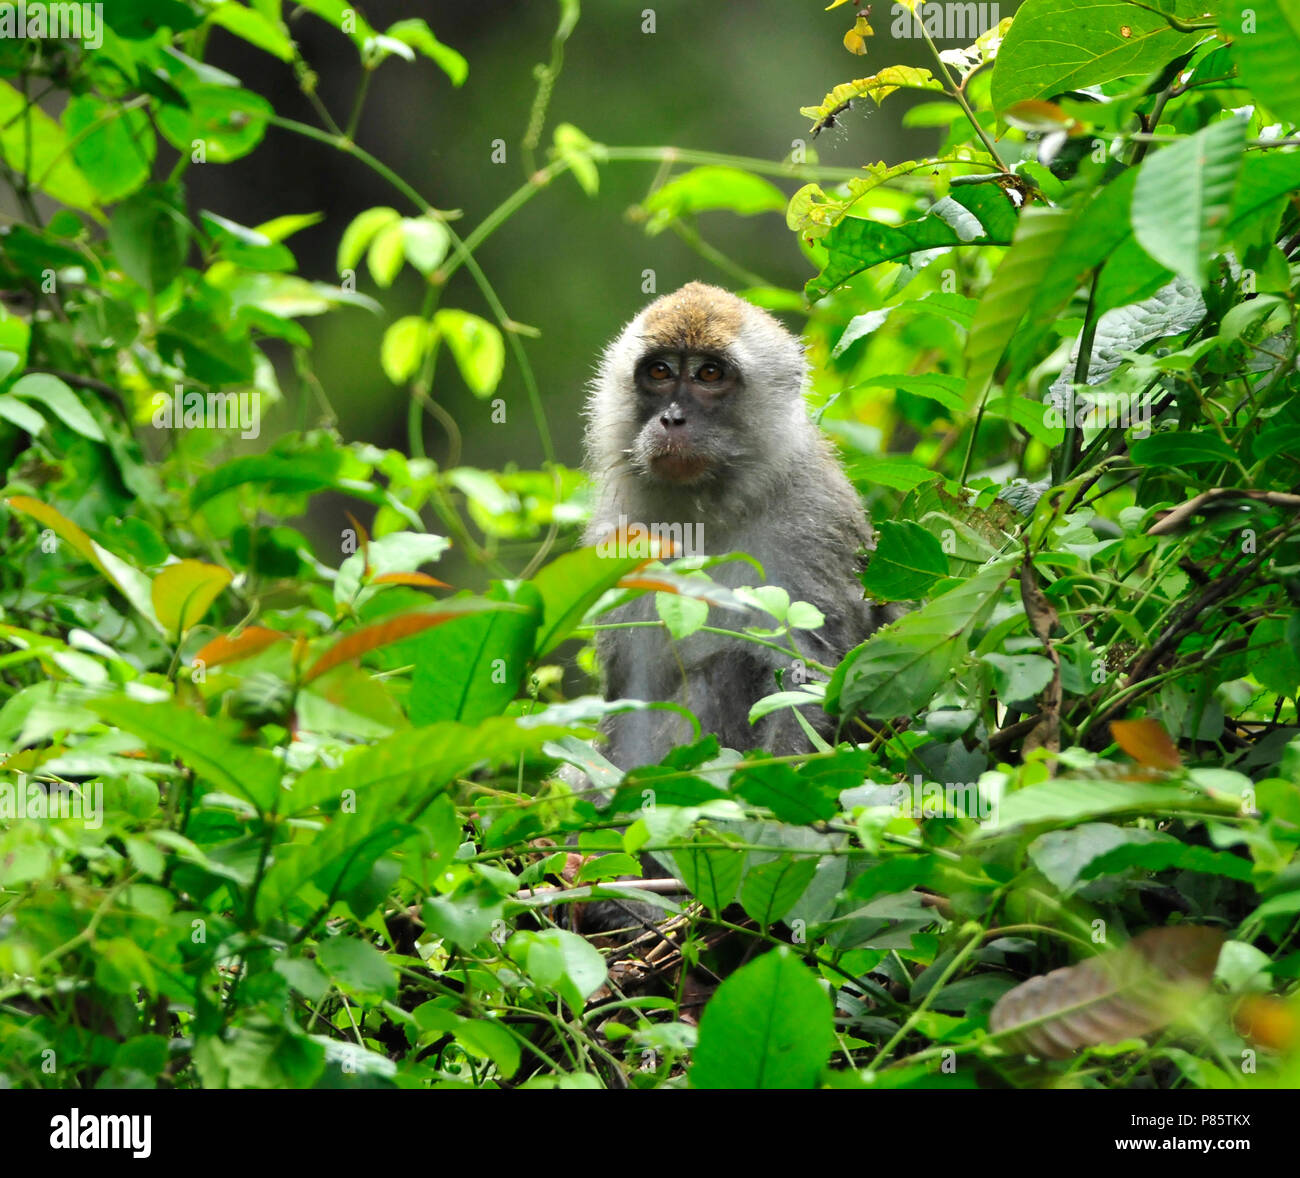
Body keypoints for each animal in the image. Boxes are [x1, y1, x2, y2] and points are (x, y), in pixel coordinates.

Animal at [574, 283, 896, 931]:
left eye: (710, 374)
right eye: (660, 372)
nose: (673, 418)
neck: (709, 509)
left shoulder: (812, 525)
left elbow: (805, 674)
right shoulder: (621, 541)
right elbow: (631, 696)